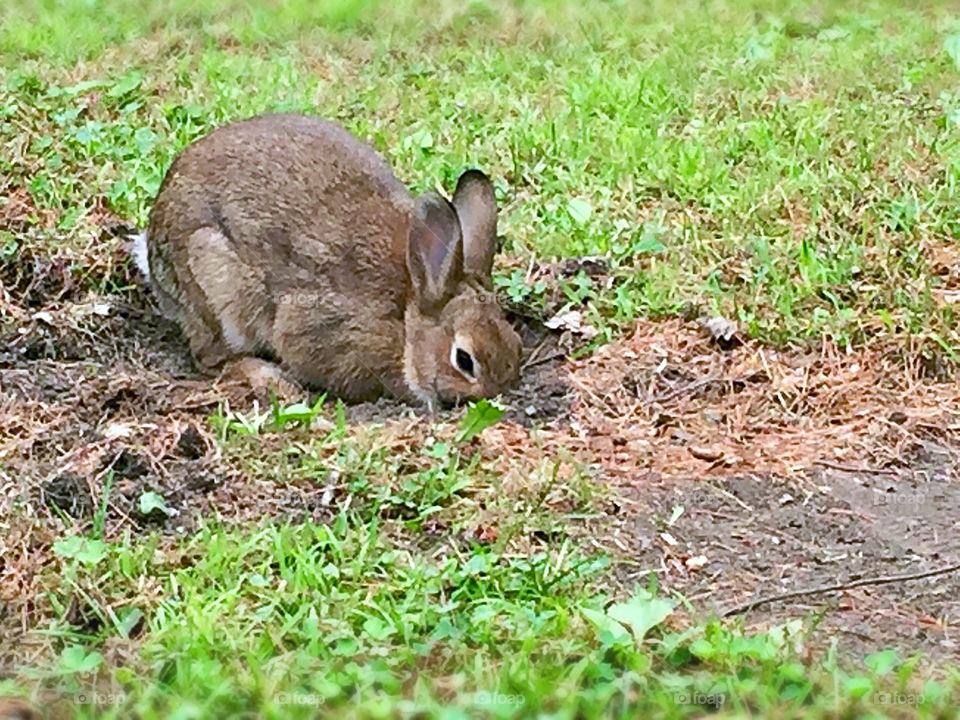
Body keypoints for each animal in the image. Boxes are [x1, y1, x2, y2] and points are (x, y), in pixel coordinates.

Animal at [131, 112, 520, 408]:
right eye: (464, 360)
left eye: (515, 341)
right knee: (210, 358)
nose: (492, 394)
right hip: (214, 282)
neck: (407, 316)